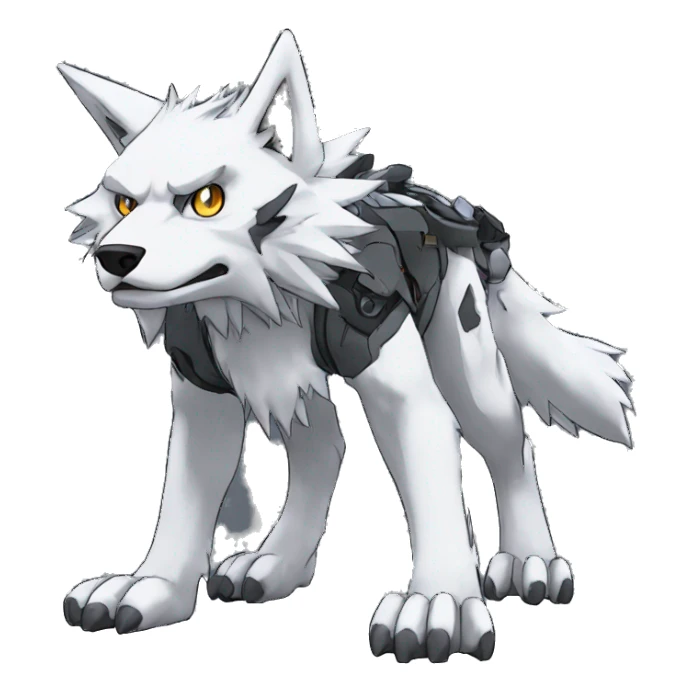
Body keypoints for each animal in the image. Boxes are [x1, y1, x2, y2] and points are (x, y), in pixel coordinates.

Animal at [58, 30, 633, 663]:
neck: (262, 303)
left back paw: (533, 559)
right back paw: (279, 563)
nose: (116, 256)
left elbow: (435, 492)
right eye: (124, 204)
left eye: (207, 200)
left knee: (510, 445)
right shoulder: (206, 396)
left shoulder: (402, 393)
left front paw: (441, 603)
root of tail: (456, 213)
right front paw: (153, 586)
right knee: (326, 448)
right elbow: (182, 504)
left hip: (468, 366)